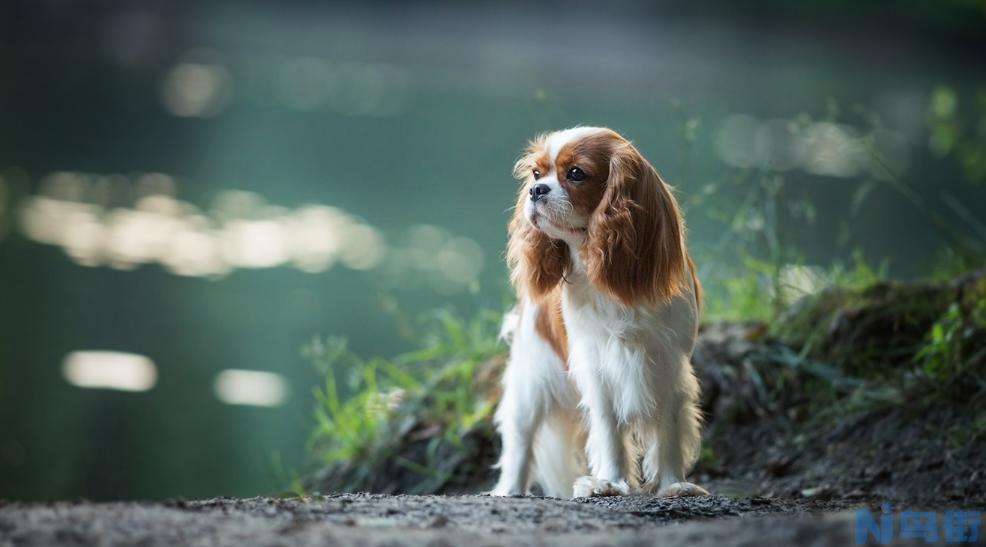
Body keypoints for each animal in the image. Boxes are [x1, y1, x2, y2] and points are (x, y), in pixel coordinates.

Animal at [492, 126, 708, 498]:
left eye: (576, 173)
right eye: (536, 173)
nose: (536, 190)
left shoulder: (666, 363)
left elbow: (667, 430)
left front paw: (673, 484)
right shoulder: (598, 365)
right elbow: (608, 429)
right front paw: (610, 482)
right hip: (531, 376)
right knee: (520, 440)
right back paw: (510, 491)